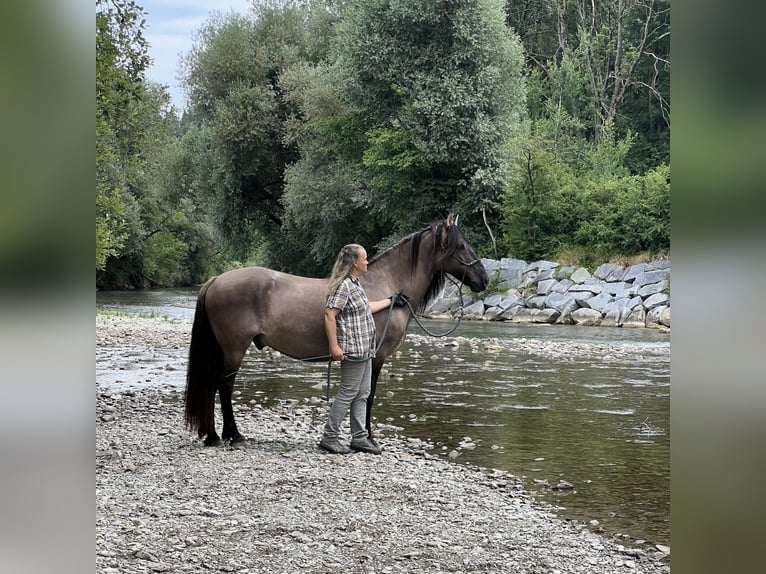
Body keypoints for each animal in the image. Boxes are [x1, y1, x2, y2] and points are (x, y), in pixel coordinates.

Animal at [184, 215, 489, 446]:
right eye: (461, 246)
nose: (484, 279)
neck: (385, 285)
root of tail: (216, 279)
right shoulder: (375, 357)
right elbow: (368, 396)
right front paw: (369, 437)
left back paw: (216, 435)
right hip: (234, 348)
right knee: (223, 386)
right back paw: (230, 435)